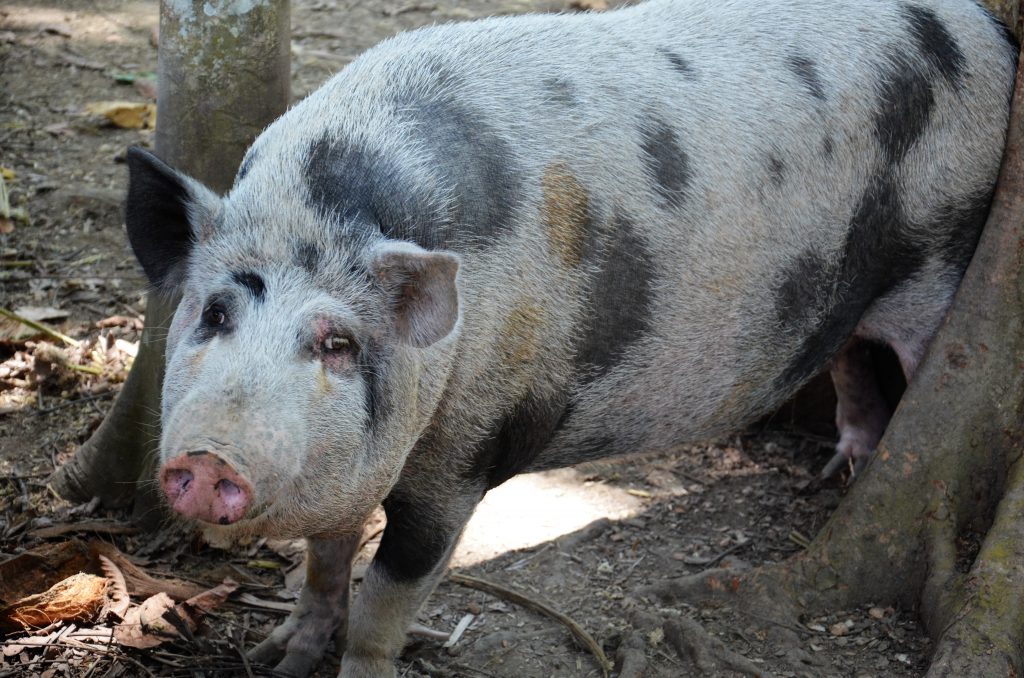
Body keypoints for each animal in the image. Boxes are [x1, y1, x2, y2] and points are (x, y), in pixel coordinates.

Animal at [121, 0, 1015, 675]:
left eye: (335, 343)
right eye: (215, 314)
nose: (211, 459)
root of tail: (986, 28)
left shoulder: (467, 451)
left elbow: (386, 596)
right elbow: (326, 560)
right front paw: (275, 659)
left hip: (948, 249)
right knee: (851, 355)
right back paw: (839, 472)